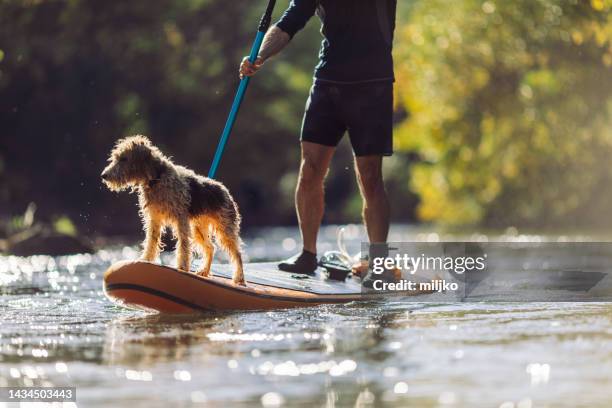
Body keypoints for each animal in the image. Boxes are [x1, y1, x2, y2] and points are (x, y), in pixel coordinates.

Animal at [100, 135, 244, 286]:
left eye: (124, 158)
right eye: (116, 157)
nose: (104, 175)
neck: (156, 178)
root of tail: (225, 190)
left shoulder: (181, 219)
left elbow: (183, 245)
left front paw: (182, 266)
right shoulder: (154, 219)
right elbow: (151, 241)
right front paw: (146, 258)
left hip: (225, 230)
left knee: (237, 254)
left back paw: (239, 278)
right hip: (198, 229)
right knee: (210, 248)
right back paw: (204, 271)